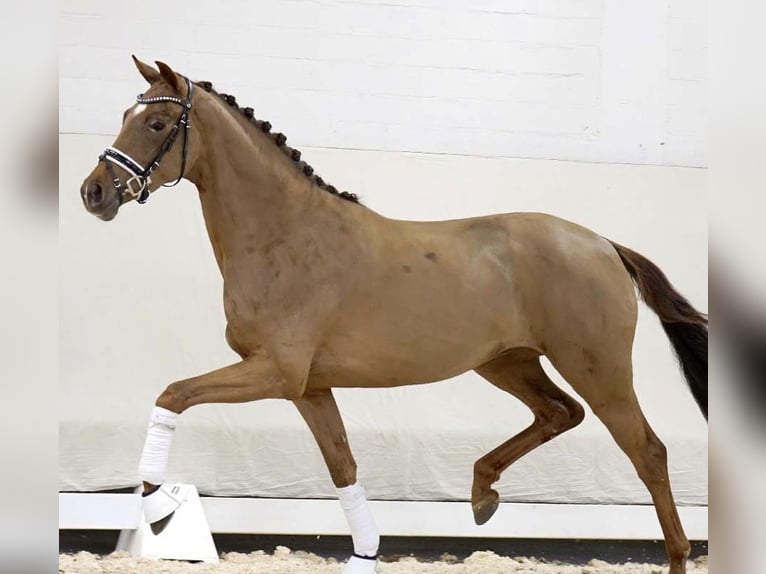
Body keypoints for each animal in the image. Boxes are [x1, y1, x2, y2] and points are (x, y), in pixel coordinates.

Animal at [78, 58, 708, 574]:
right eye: (127, 114)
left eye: (157, 123)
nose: (94, 192)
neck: (284, 235)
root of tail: (602, 244)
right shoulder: (309, 387)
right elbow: (344, 468)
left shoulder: (274, 372)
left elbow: (173, 394)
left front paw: (159, 506)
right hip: (507, 363)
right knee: (560, 413)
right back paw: (482, 493)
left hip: (598, 369)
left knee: (647, 451)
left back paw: (675, 555)